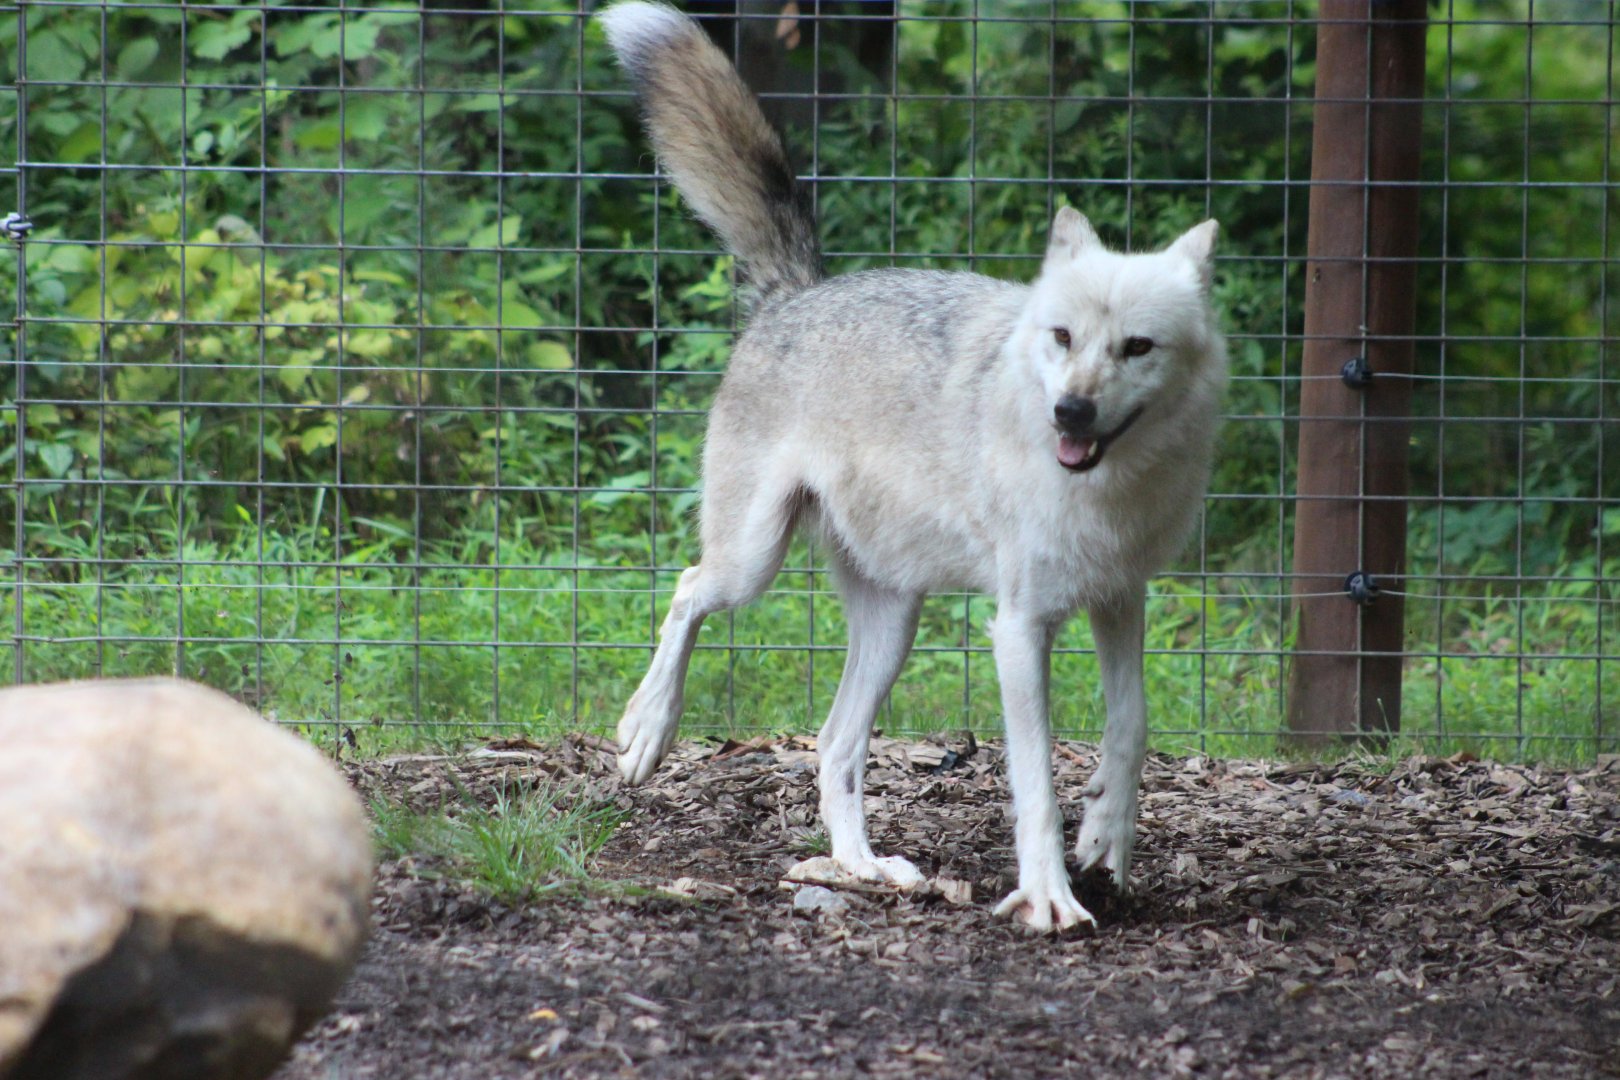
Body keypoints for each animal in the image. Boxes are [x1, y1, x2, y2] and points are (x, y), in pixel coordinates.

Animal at [598, 1, 1226, 930]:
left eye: (1137, 347)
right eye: (1063, 337)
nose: (1070, 413)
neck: (1102, 489)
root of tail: (796, 292)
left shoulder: (1120, 599)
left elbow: (1132, 725)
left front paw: (1107, 839)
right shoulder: (1019, 628)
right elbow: (1035, 783)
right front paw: (1050, 897)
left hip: (894, 623)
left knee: (833, 746)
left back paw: (862, 867)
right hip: (753, 564)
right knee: (686, 591)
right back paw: (649, 730)